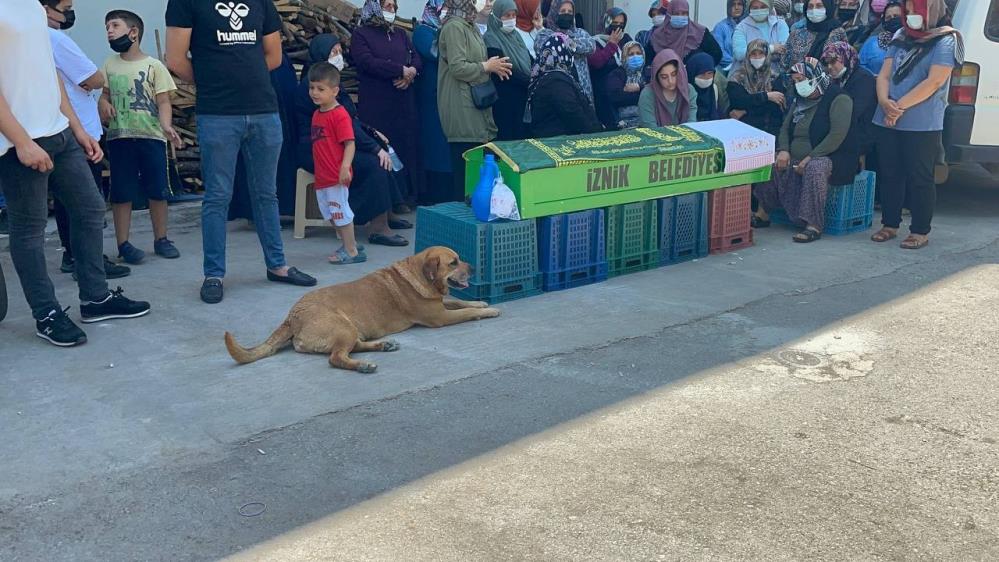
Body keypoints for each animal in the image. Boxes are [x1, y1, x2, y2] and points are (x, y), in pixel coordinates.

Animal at [225, 246, 500, 372]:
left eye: (459, 259)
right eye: (453, 263)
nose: (473, 268)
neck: (420, 274)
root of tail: (292, 316)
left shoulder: (440, 305)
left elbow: (462, 303)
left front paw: (482, 302)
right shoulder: (440, 317)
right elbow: (465, 312)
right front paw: (488, 312)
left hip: (350, 330)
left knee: (352, 347)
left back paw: (382, 346)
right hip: (343, 326)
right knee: (336, 358)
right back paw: (363, 365)